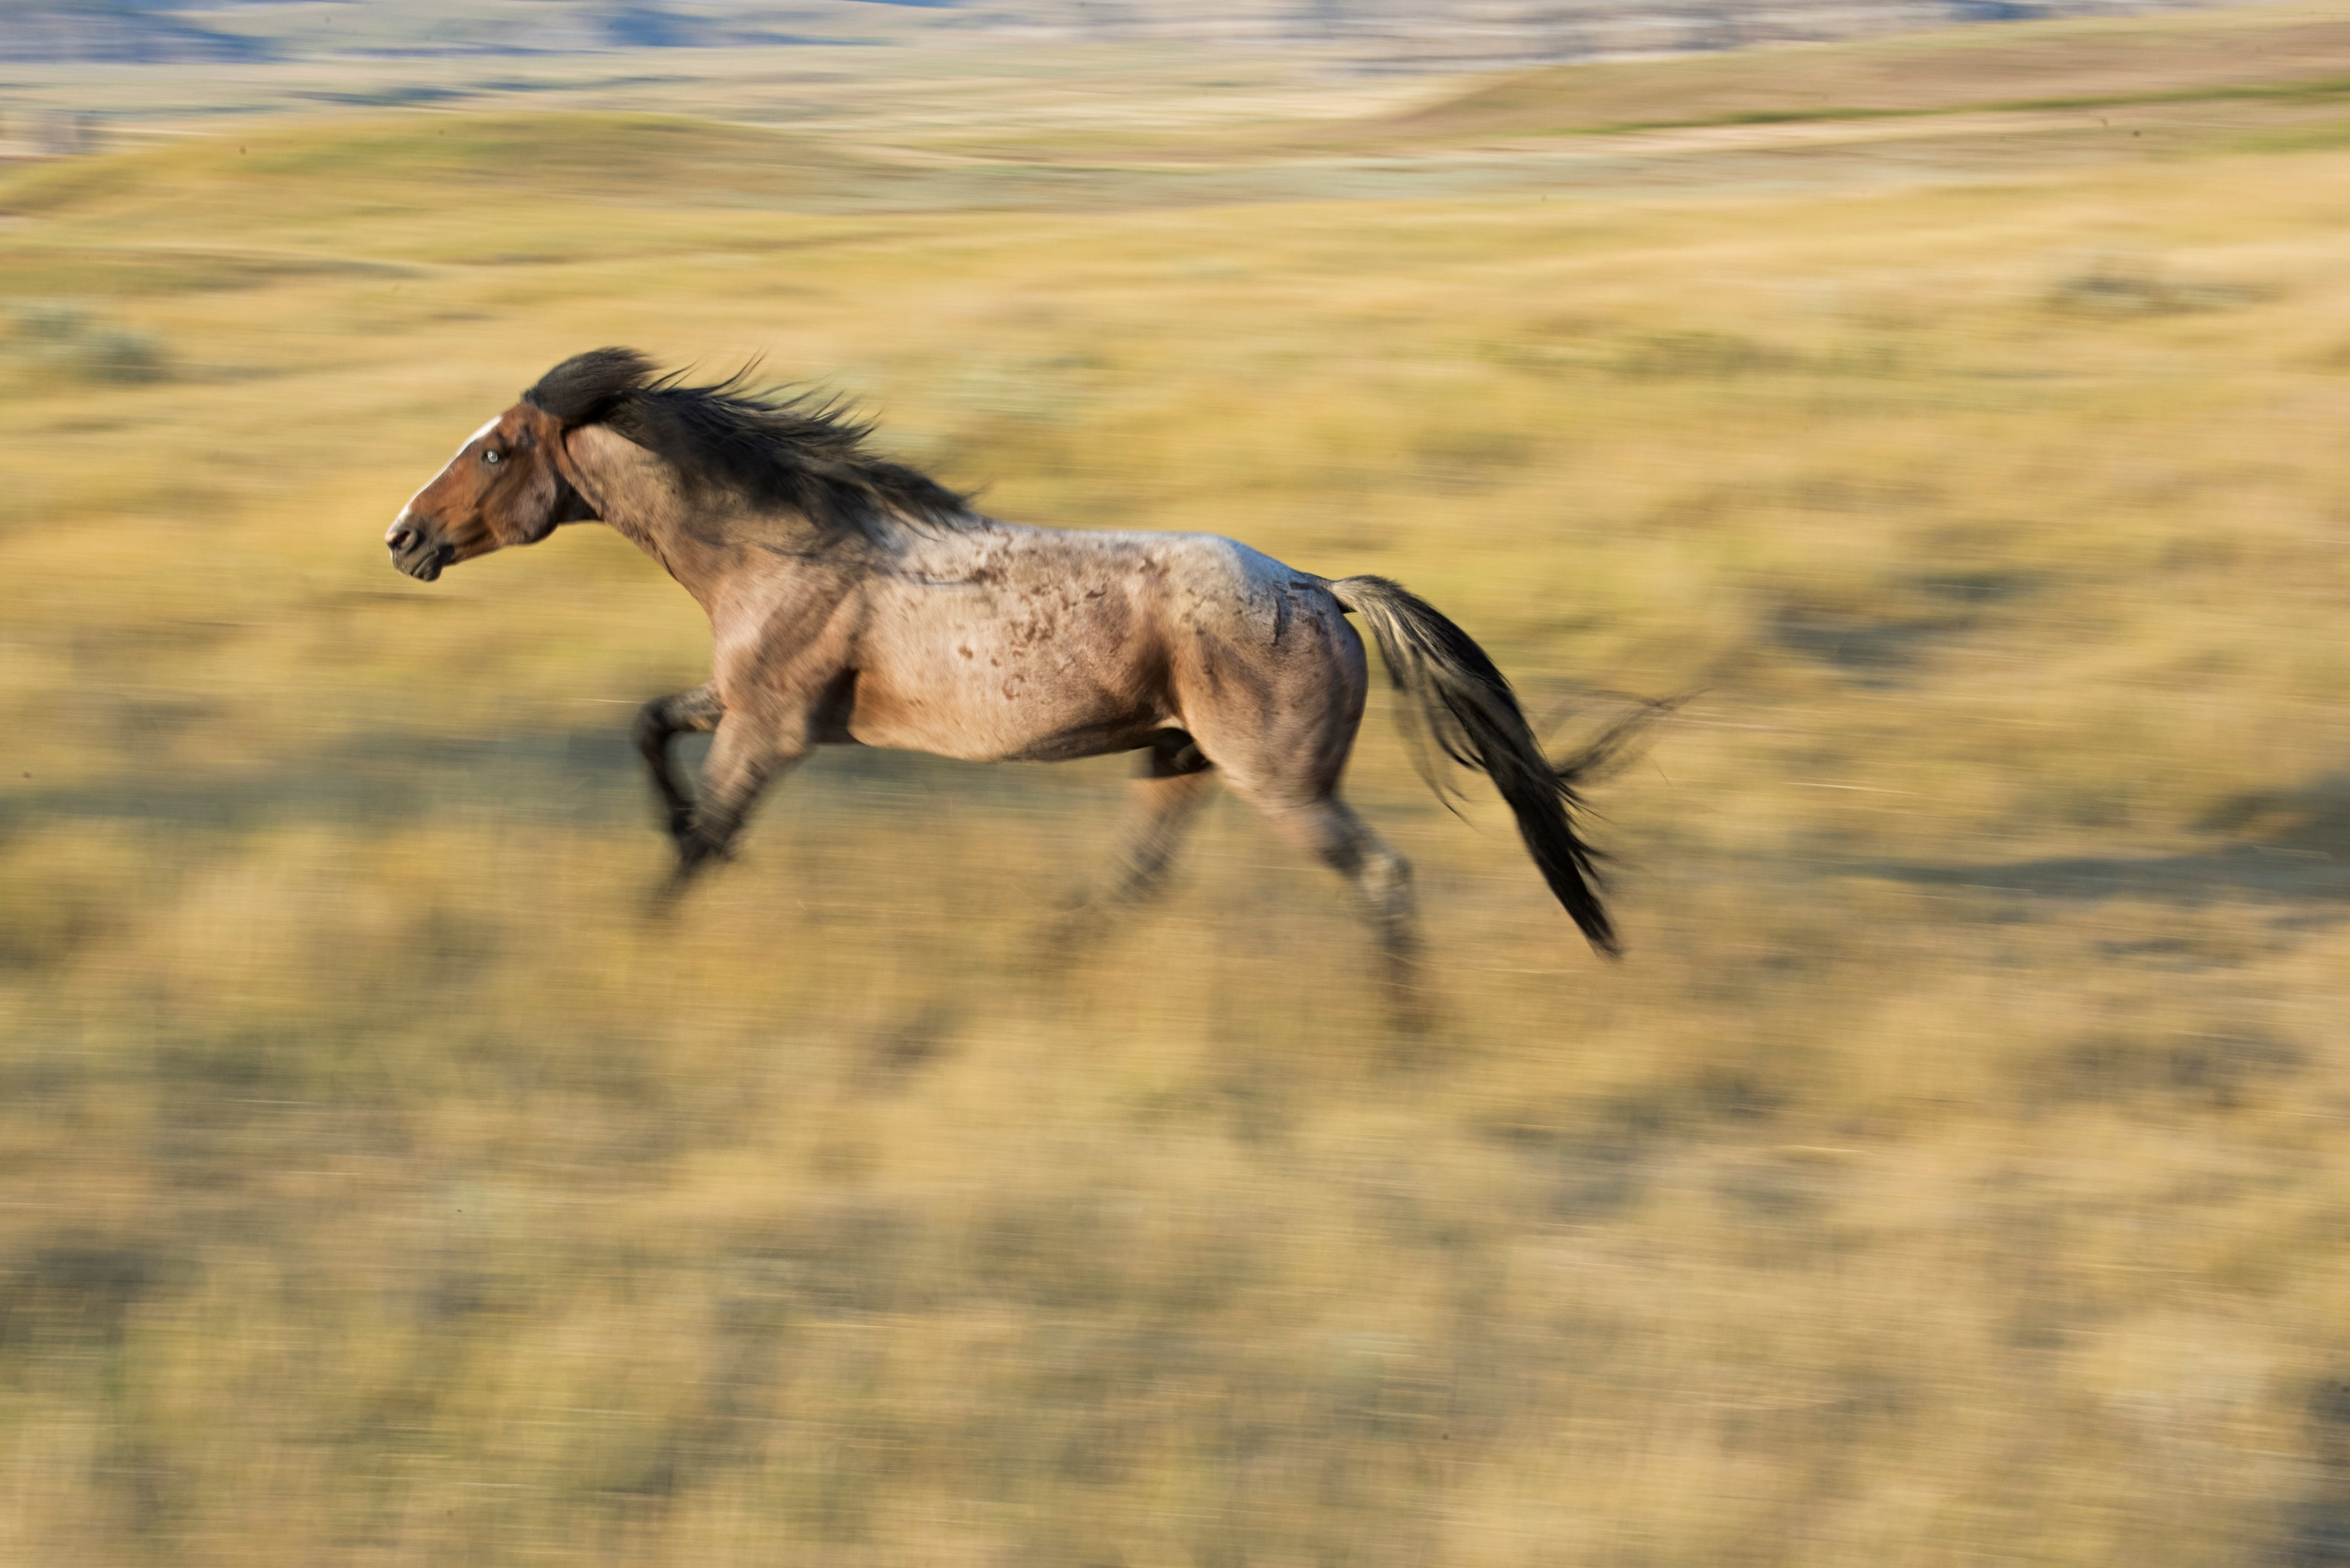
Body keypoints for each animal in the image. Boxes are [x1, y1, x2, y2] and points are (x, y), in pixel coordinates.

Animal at [385, 348, 1640, 978]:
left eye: (495, 451)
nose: (403, 538)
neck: (782, 544)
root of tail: (1319, 590)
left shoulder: (771, 731)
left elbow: (701, 842)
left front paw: (640, 941)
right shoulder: (744, 704)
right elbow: (649, 724)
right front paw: (668, 832)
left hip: (1279, 785)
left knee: (1381, 878)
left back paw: (1404, 1036)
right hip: (1178, 762)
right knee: (1133, 882)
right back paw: (1034, 967)